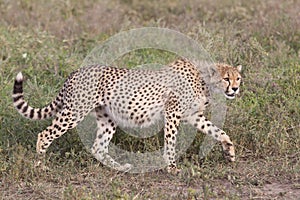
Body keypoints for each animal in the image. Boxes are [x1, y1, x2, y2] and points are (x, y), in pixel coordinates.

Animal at [12, 58, 241, 173]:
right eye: (226, 78)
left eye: (238, 78)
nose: (236, 88)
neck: (204, 80)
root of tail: (76, 71)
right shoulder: (173, 113)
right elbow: (171, 141)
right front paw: (172, 167)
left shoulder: (193, 116)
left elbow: (219, 131)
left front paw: (229, 153)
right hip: (74, 112)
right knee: (45, 135)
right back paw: (40, 165)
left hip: (107, 118)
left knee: (98, 147)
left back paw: (120, 168)